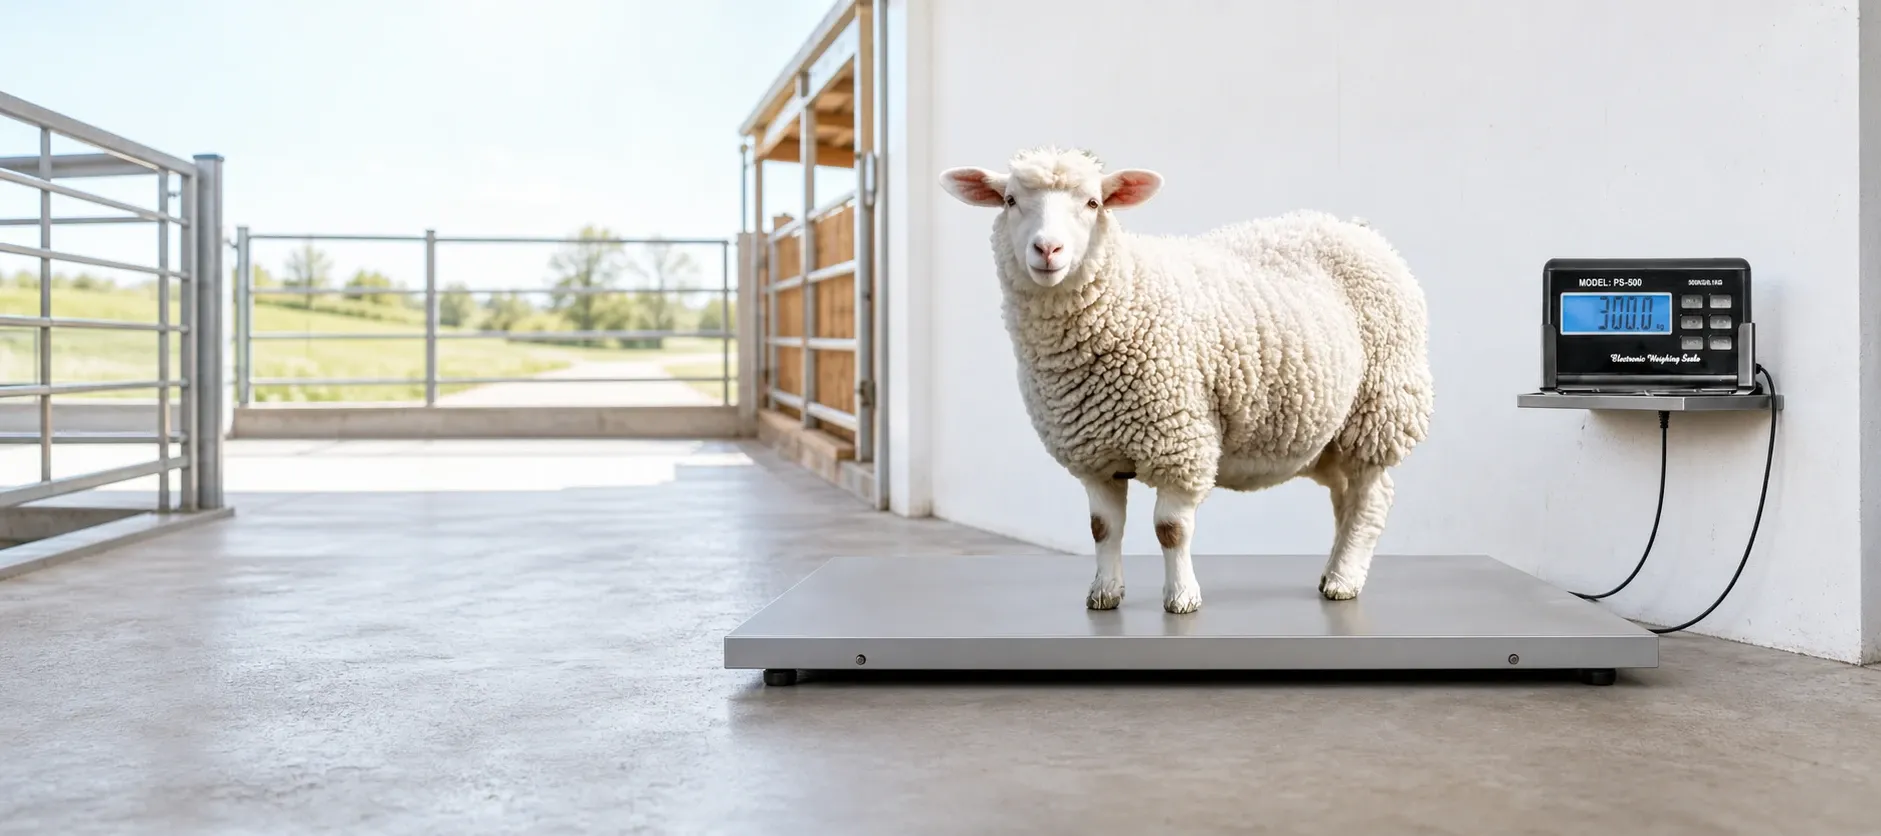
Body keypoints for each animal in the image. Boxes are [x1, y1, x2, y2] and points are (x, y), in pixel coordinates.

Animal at [938, 146, 1434, 614]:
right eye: (1010, 200)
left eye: (1094, 203)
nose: (1047, 250)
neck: (1124, 295)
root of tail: (1355, 229)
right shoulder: (1095, 452)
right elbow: (1102, 529)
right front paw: (1104, 593)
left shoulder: (1179, 443)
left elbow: (1170, 530)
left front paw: (1181, 598)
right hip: (1329, 432)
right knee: (1345, 499)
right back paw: (1335, 569)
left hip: (1379, 408)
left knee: (1371, 498)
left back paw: (1343, 581)